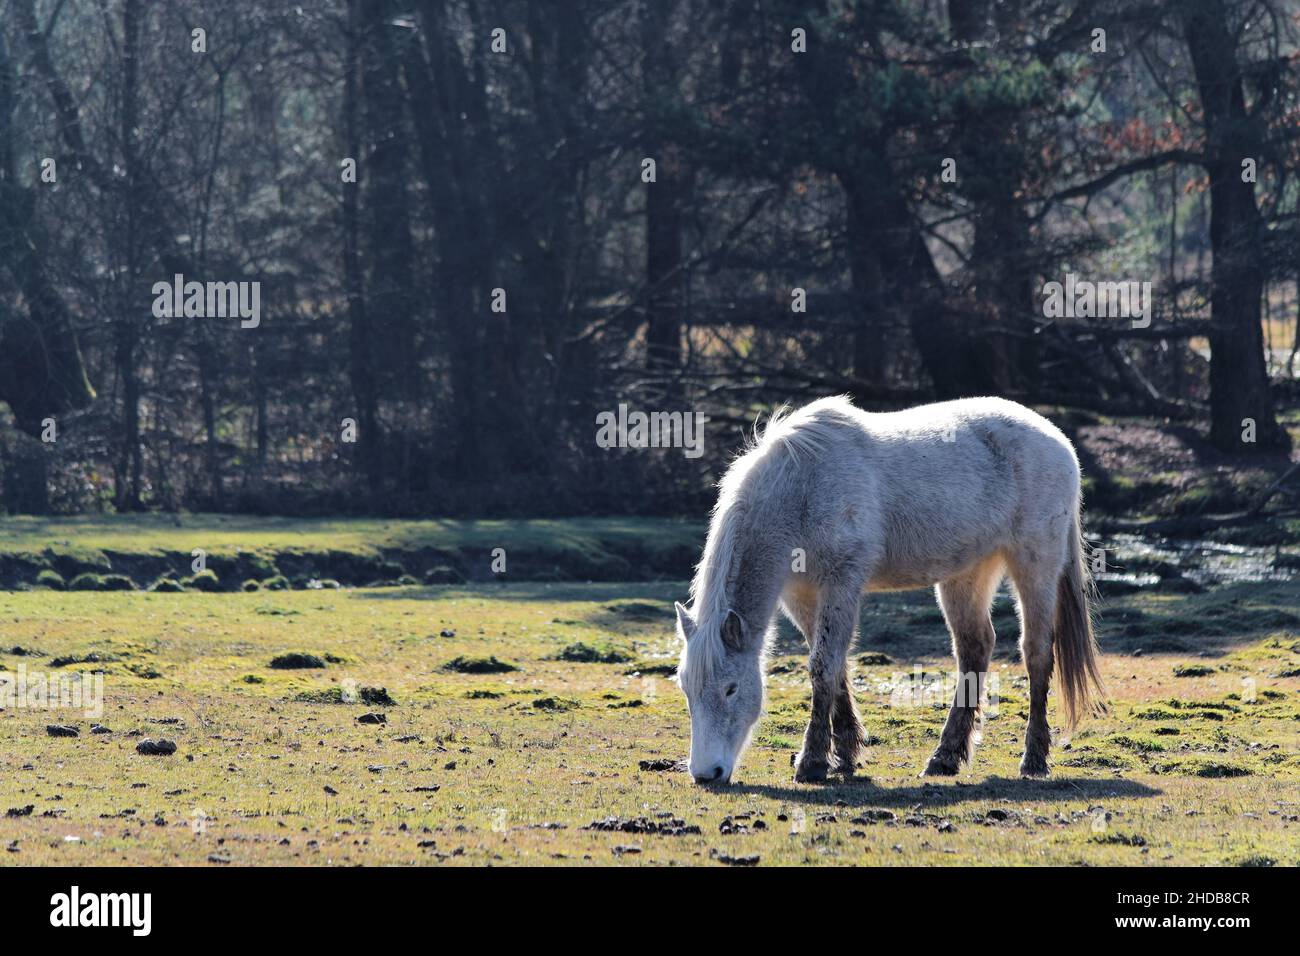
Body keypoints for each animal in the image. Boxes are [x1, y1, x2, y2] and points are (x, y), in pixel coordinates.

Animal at [676, 392, 1102, 780]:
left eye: (731, 689)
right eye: (686, 688)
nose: (706, 773)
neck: (801, 489)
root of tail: (1057, 439)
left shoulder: (841, 583)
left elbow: (823, 667)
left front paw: (812, 762)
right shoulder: (800, 595)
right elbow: (835, 667)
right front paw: (845, 753)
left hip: (1035, 566)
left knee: (1036, 652)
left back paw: (1034, 759)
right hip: (967, 575)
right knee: (975, 649)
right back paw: (945, 757)